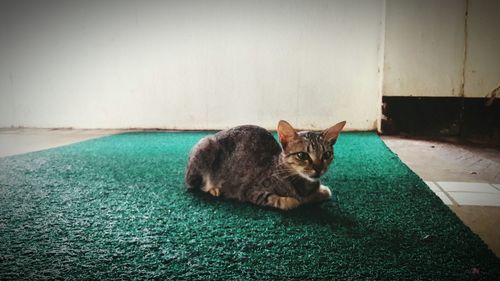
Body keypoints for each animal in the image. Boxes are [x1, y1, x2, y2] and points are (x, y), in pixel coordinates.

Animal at [186, 119, 346, 209]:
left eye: (327, 155)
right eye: (302, 155)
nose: (319, 169)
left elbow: (323, 192)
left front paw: (321, 191)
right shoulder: (251, 191)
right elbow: (289, 202)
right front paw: (296, 200)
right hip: (205, 148)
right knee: (195, 184)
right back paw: (213, 188)